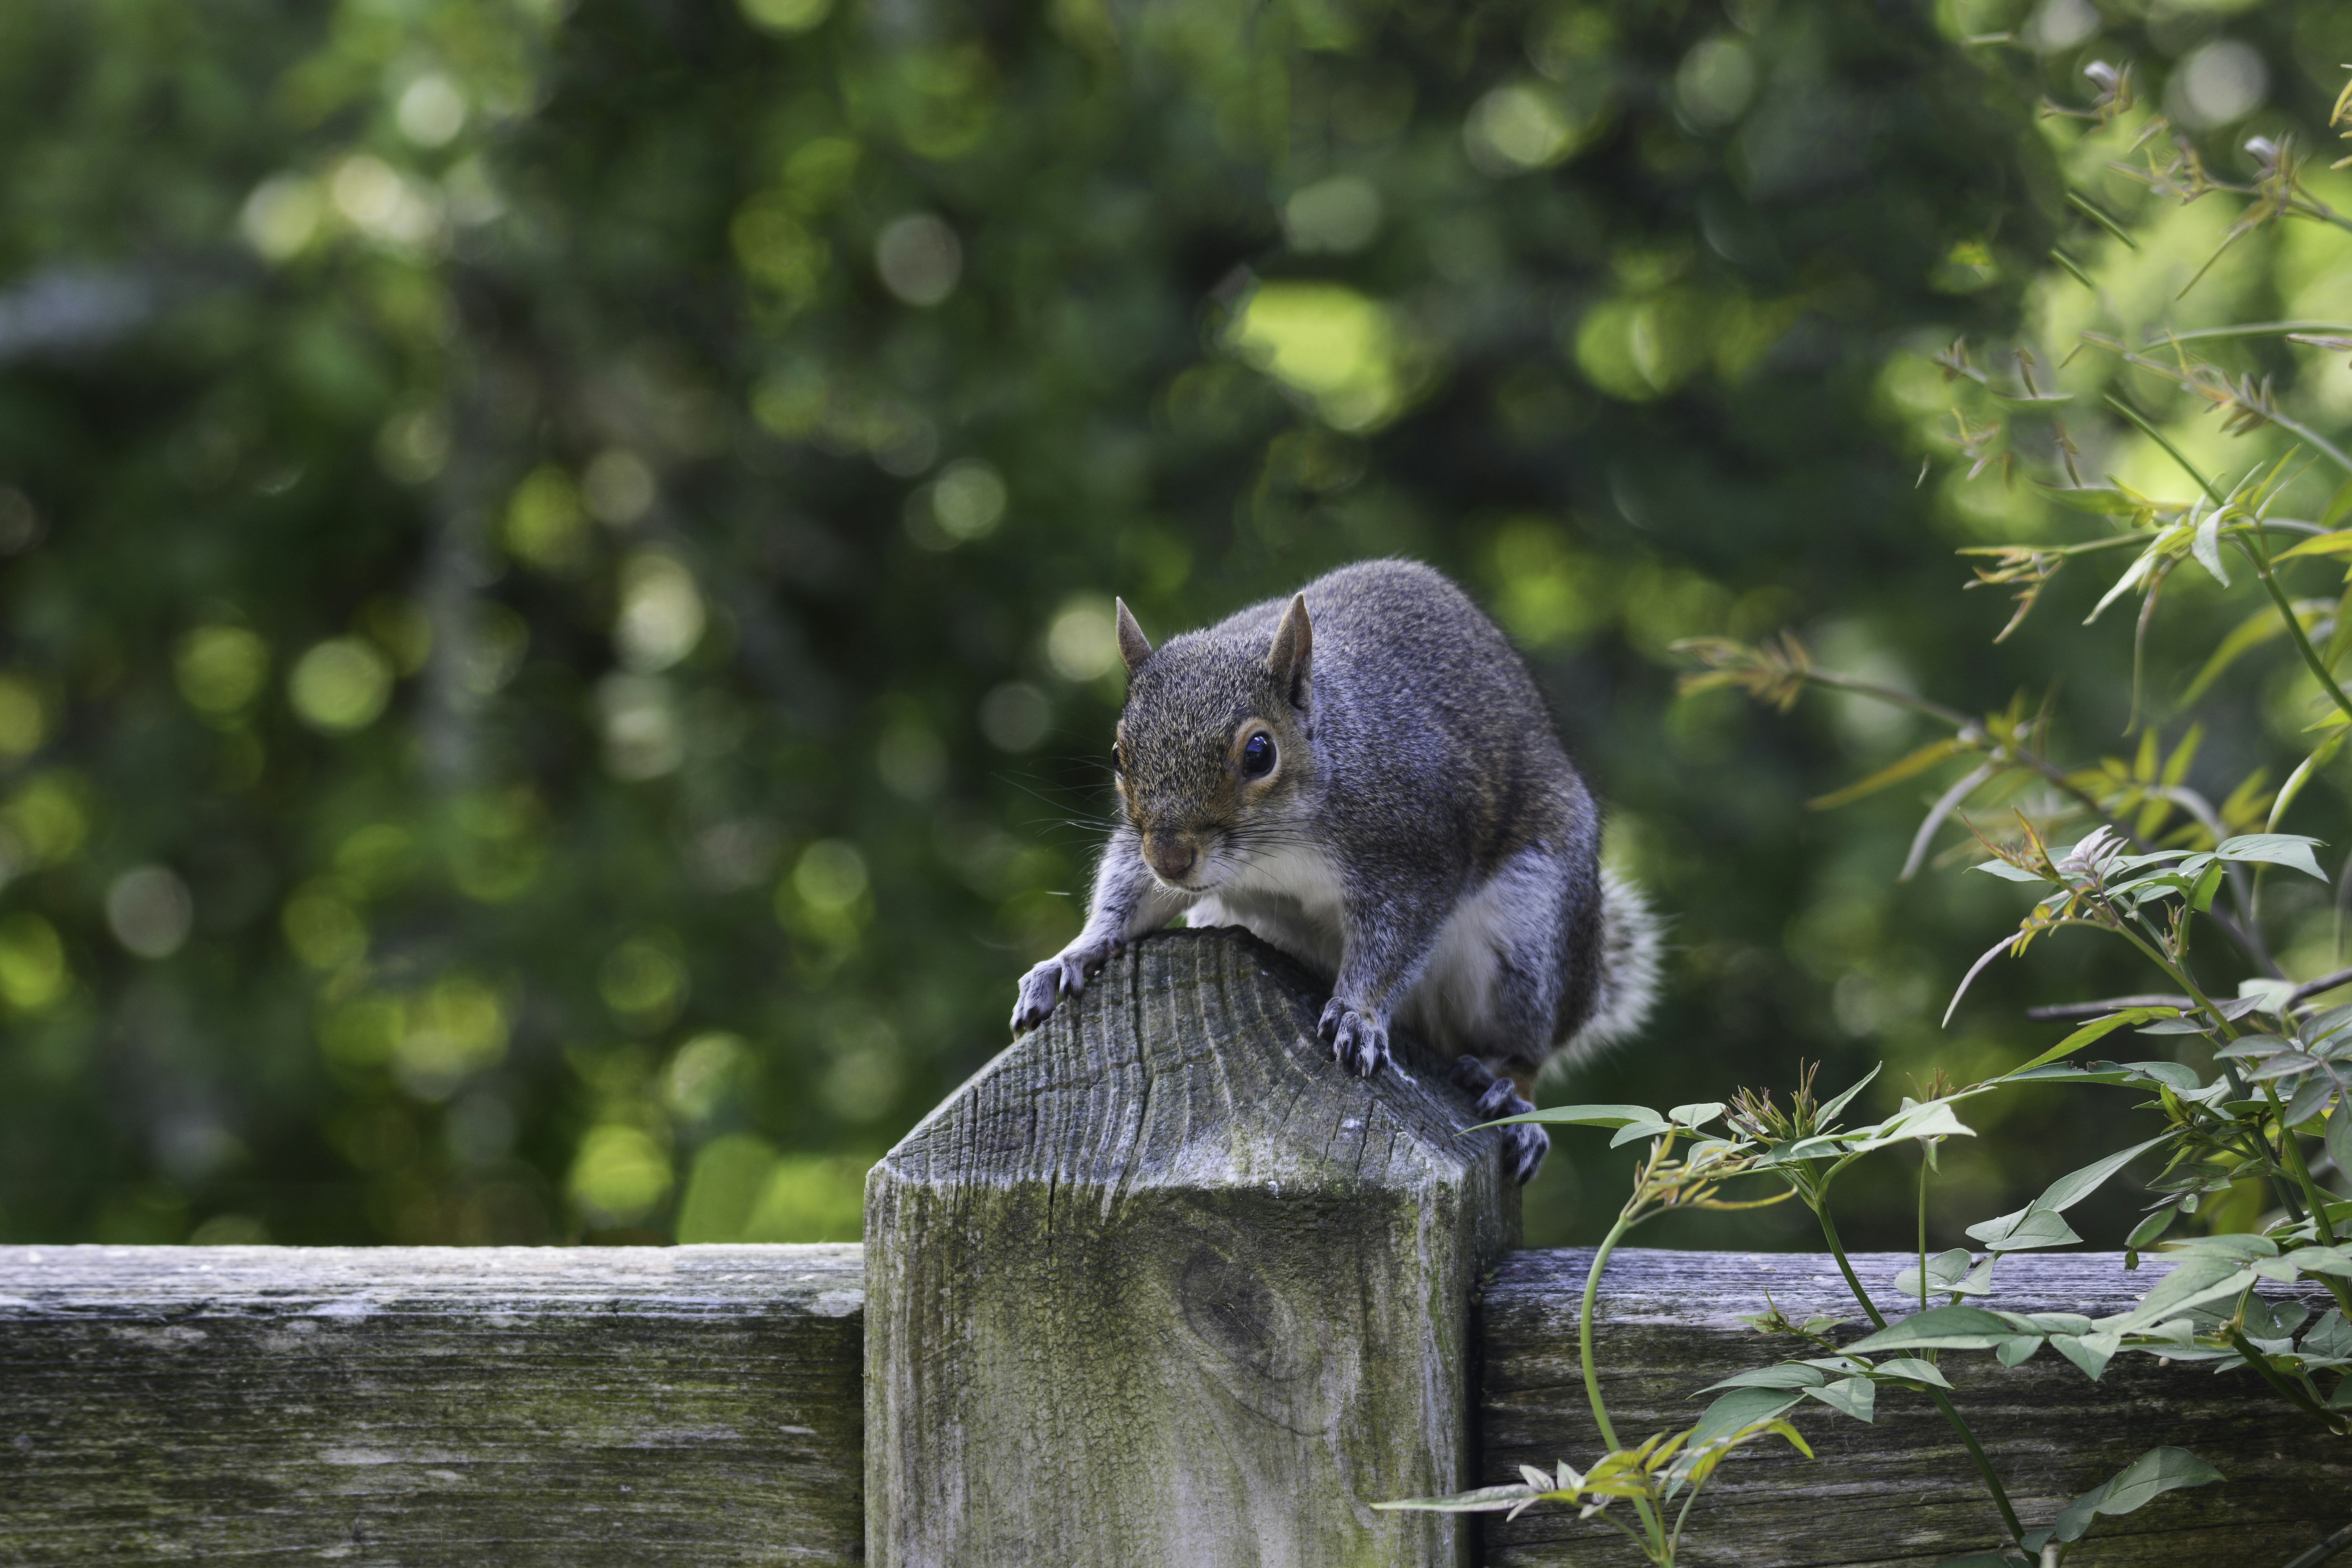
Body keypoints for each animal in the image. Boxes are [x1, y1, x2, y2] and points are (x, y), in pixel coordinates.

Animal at [1010, 559, 1660, 1183]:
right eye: (1119, 755)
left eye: (1260, 753)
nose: (1172, 858)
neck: (1279, 846)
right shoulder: (1145, 849)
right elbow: (1128, 894)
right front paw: (1072, 956)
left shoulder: (1415, 854)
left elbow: (1392, 946)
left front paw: (1358, 1014)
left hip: (1532, 940)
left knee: (1530, 1050)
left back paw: (1515, 1102)